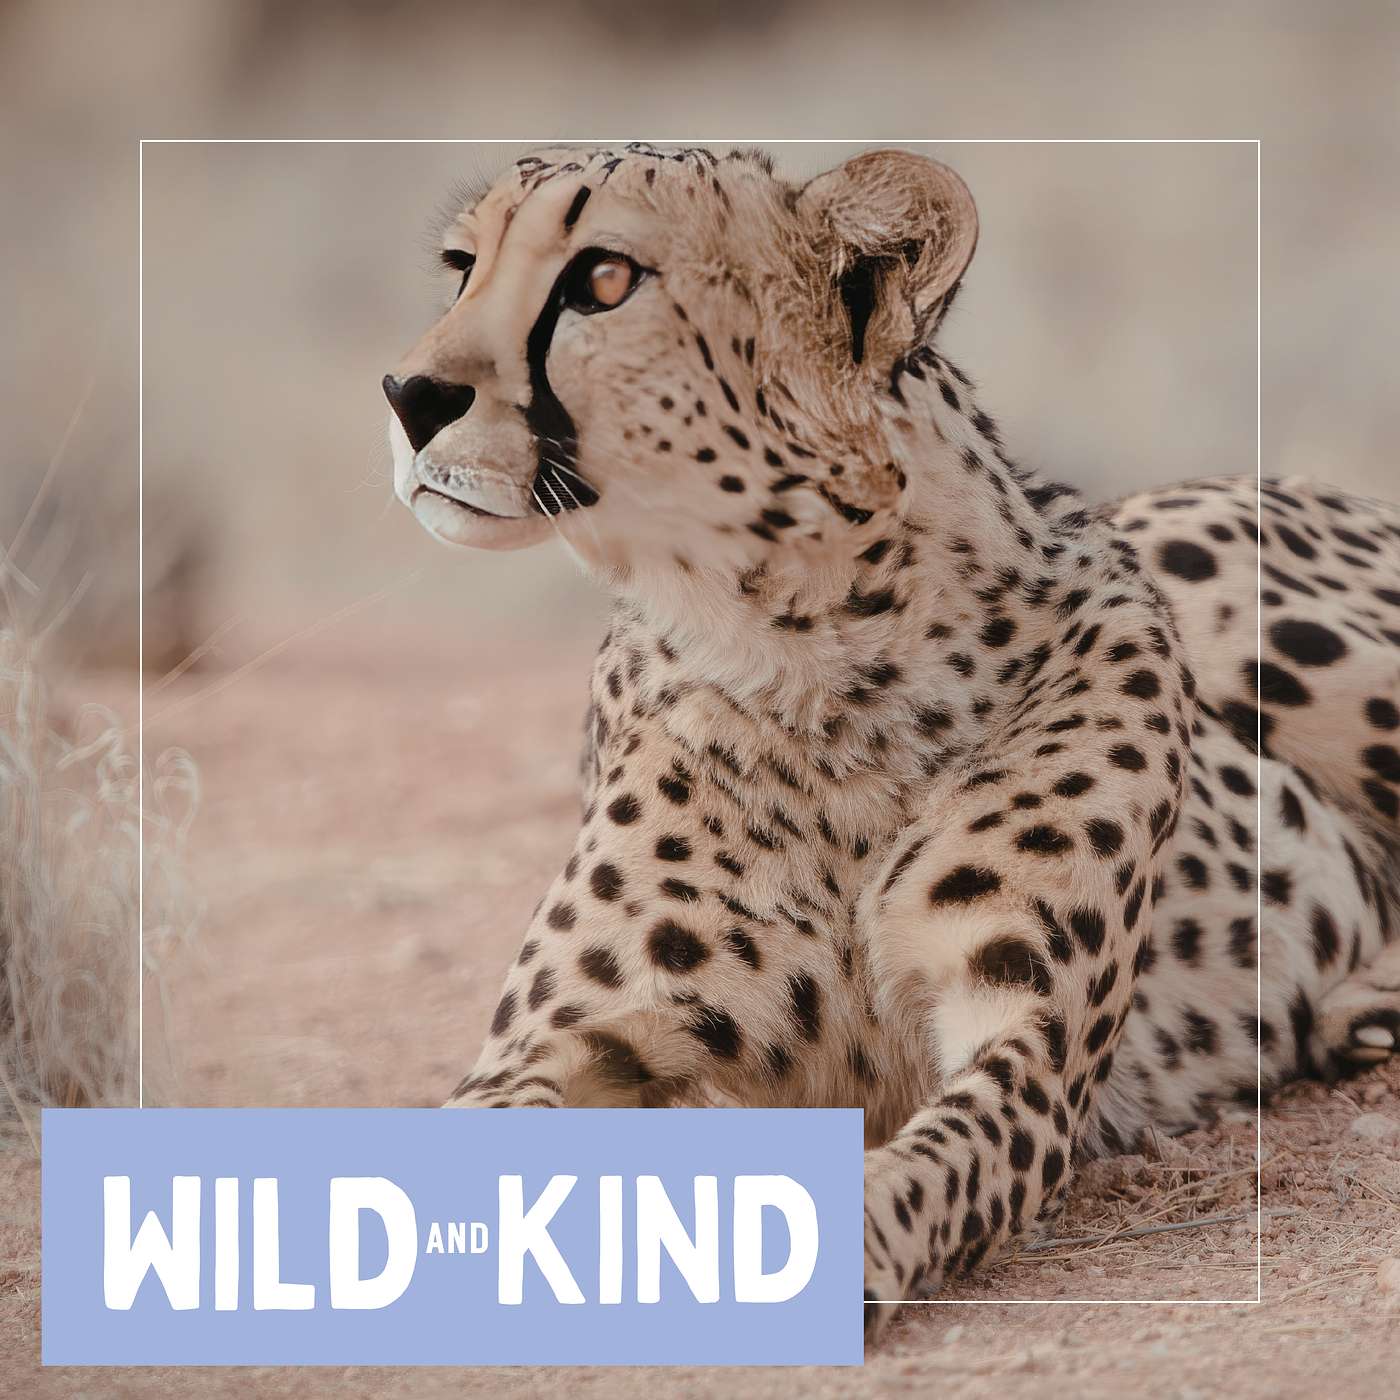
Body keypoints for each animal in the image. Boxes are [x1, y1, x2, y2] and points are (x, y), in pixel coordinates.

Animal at [381, 143, 1400, 1340]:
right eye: (462, 267)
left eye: (601, 280)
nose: (409, 397)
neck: (811, 650)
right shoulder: (556, 1041)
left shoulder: (1027, 1038)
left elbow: (928, 1166)